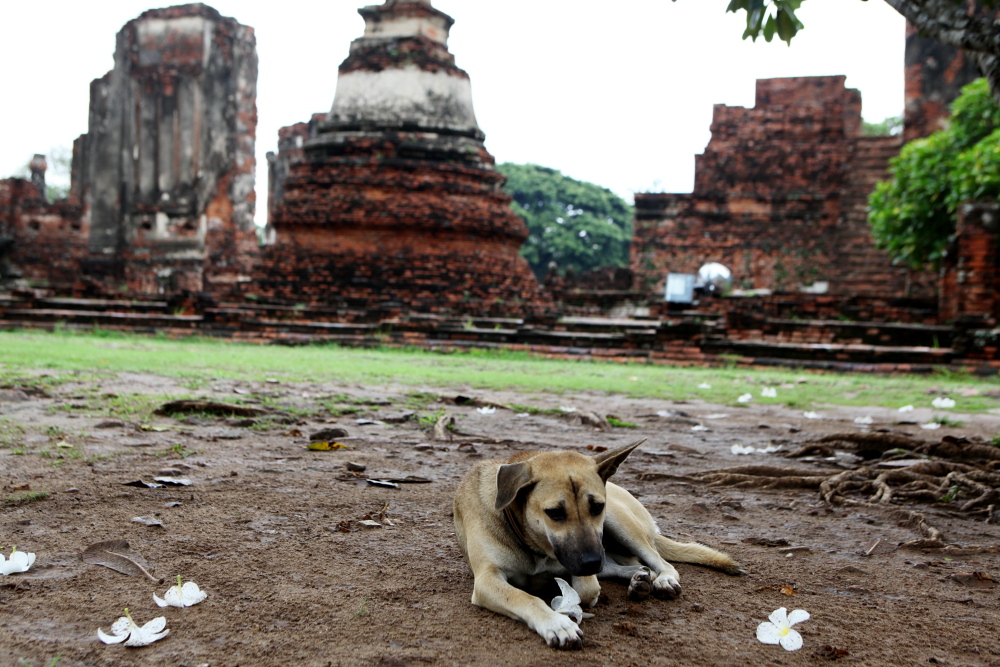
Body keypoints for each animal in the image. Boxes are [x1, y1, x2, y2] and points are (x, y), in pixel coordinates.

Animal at [454, 440, 744, 648]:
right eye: (554, 513)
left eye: (596, 507)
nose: (592, 561)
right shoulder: (487, 579)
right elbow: (524, 597)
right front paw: (556, 623)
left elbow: (586, 590)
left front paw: (566, 602)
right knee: (629, 565)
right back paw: (639, 579)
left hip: (621, 524)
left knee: (659, 562)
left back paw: (660, 579)